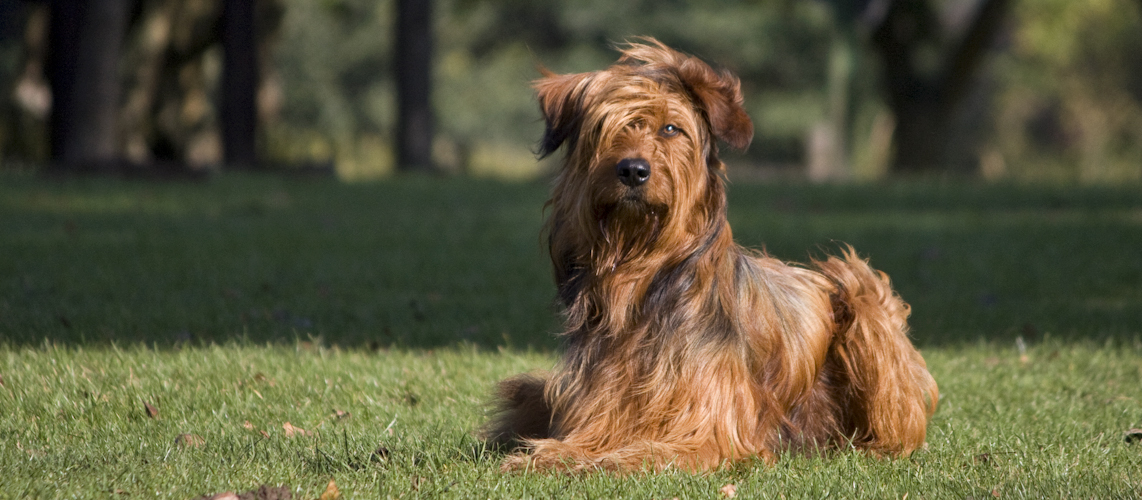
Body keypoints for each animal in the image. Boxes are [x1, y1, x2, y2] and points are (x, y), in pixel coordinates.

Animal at [481, 39, 936, 472]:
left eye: (671, 128)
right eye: (605, 128)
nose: (633, 170)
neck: (639, 283)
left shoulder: (708, 432)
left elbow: (644, 452)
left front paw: (592, 461)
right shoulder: (596, 412)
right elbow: (577, 443)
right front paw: (549, 456)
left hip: (859, 292)